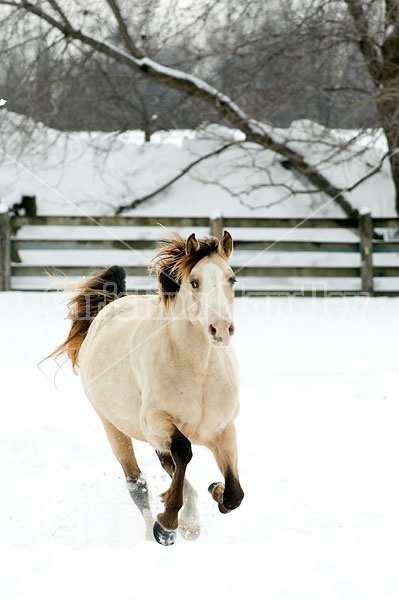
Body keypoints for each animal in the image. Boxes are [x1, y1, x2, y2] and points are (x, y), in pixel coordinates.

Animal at [50, 230, 244, 544]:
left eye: (231, 279)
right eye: (194, 282)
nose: (220, 329)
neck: (199, 374)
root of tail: (112, 306)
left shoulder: (224, 429)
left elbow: (234, 494)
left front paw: (214, 491)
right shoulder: (158, 421)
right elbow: (184, 452)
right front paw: (167, 523)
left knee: (170, 466)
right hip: (115, 429)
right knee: (138, 483)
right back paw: (159, 530)